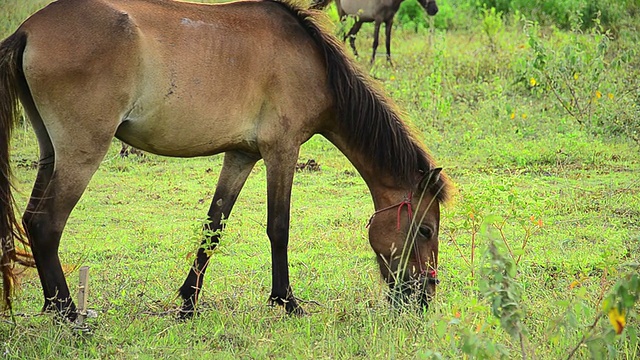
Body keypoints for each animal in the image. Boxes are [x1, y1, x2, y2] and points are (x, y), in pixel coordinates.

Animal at [312, 0, 440, 63]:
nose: (434, 10)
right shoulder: (378, 20)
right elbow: (376, 42)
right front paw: (371, 62)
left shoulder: (389, 21)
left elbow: (388, 43)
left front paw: (390, 64)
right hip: (344, 16)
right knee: (342, 35)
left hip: (359, 21)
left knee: (350, 37)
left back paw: (356, 58)